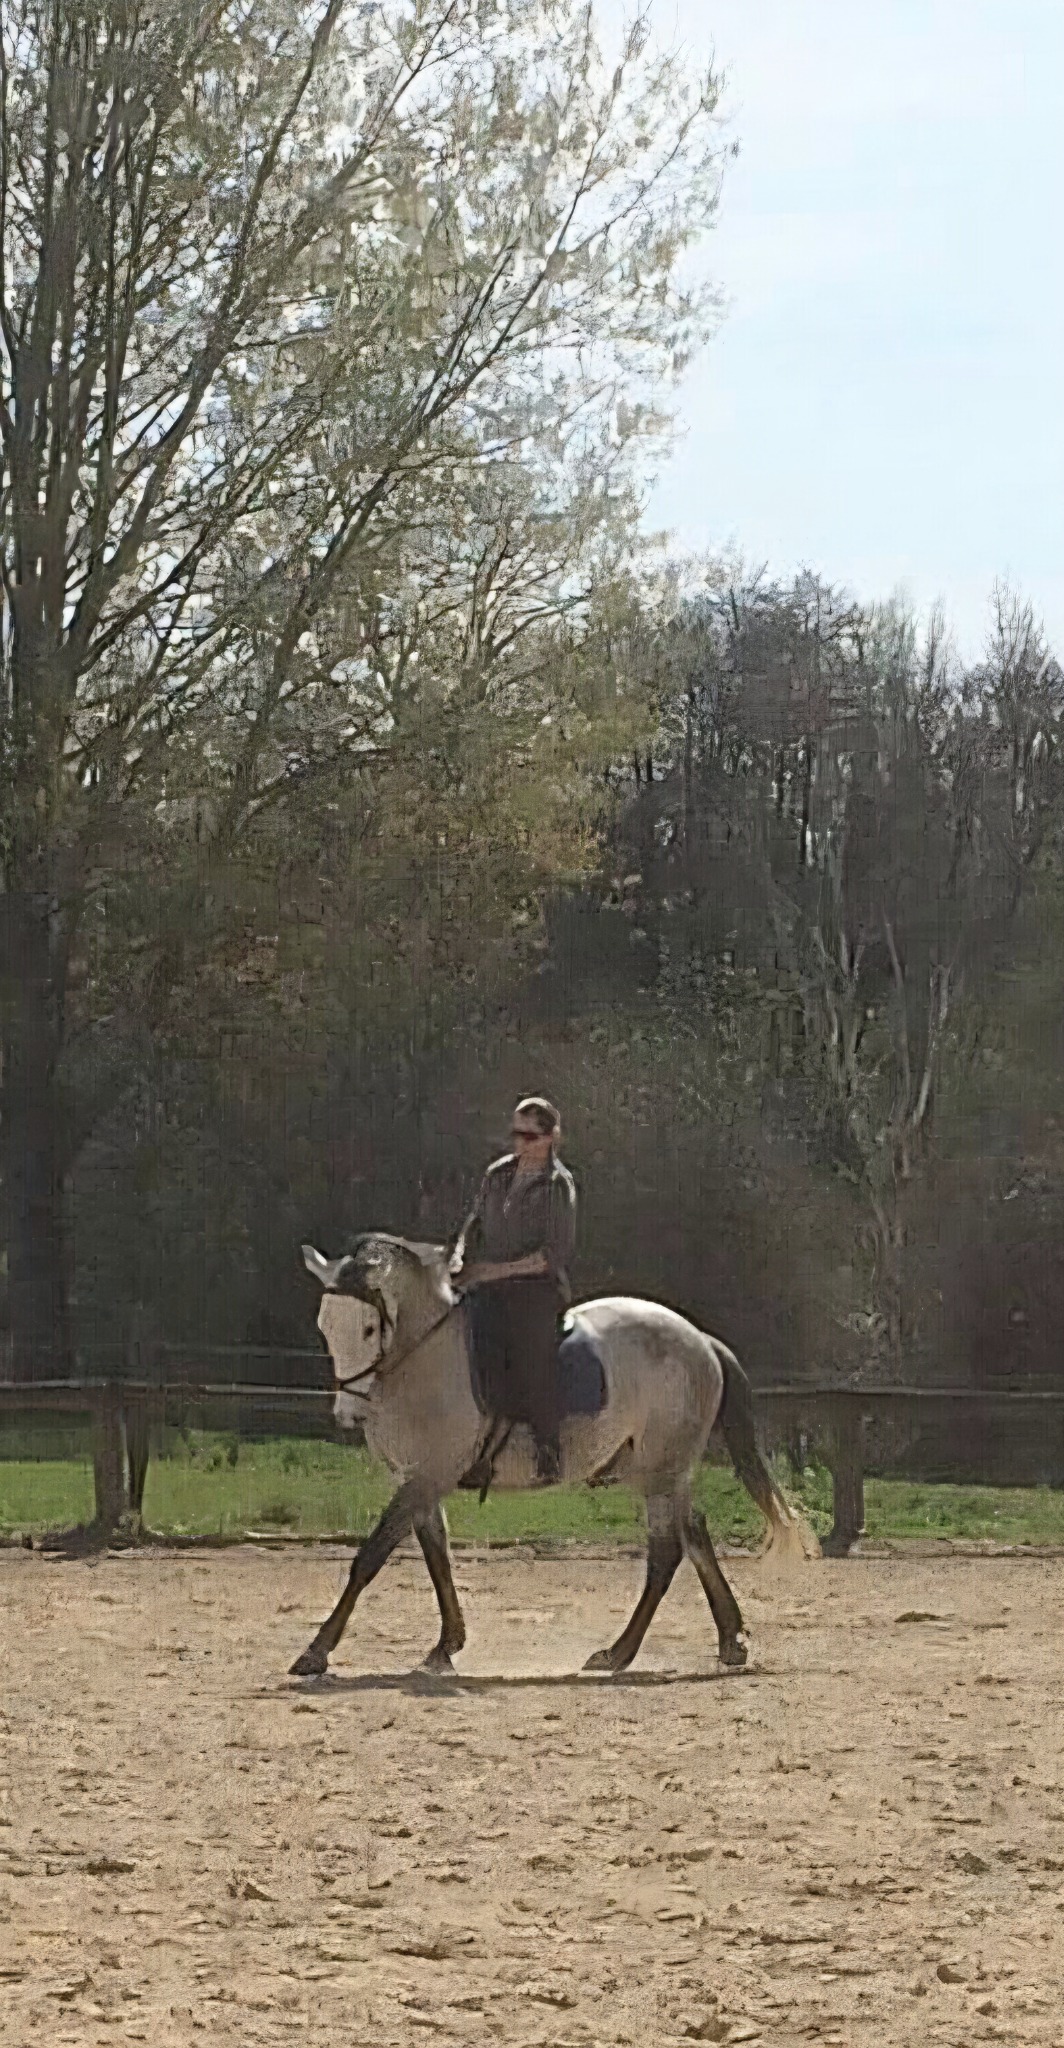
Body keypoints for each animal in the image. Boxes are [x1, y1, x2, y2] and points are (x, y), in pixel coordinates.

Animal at [290, 1233, 818, 1678]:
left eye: (368, 1327)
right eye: (324, 1325)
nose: (349, 1414)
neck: (423, 1359)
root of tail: (700, 1340)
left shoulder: (429, 1475)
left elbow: (371, 1555)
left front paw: (316, 1652)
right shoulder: (419, 1478)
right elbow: (437, 1556)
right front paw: (446, 1646)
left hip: (662, 1471)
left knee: (667, 1551)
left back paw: (619, 1653)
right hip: (664, 1472)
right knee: (694, 1536)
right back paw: (729, 1641)